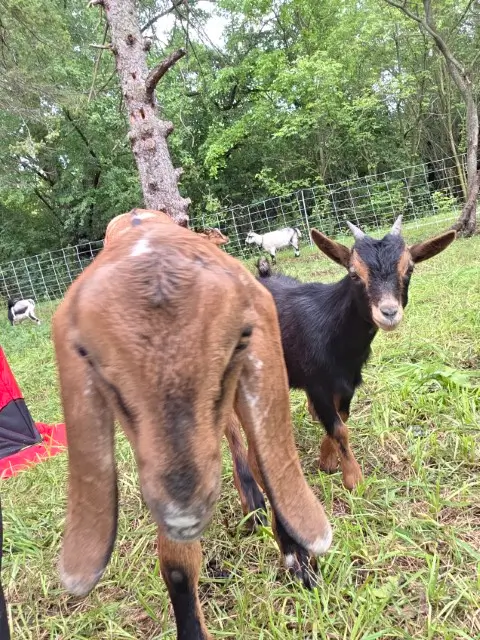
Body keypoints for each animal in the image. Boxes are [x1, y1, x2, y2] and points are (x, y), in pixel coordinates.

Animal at [53, 219, 332, 640]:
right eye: (93, 360)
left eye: (239, 339)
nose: (185, 514)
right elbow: (178, 565)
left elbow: (266, 458)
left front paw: (297, 560)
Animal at [229, 217, 455, 499]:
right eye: (353, 273)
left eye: (409, 269)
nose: (389, 313)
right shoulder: (317, 383)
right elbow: (338, 428)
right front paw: (353, 479)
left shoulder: (348, 381)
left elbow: (342, 418)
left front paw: (327, 460)